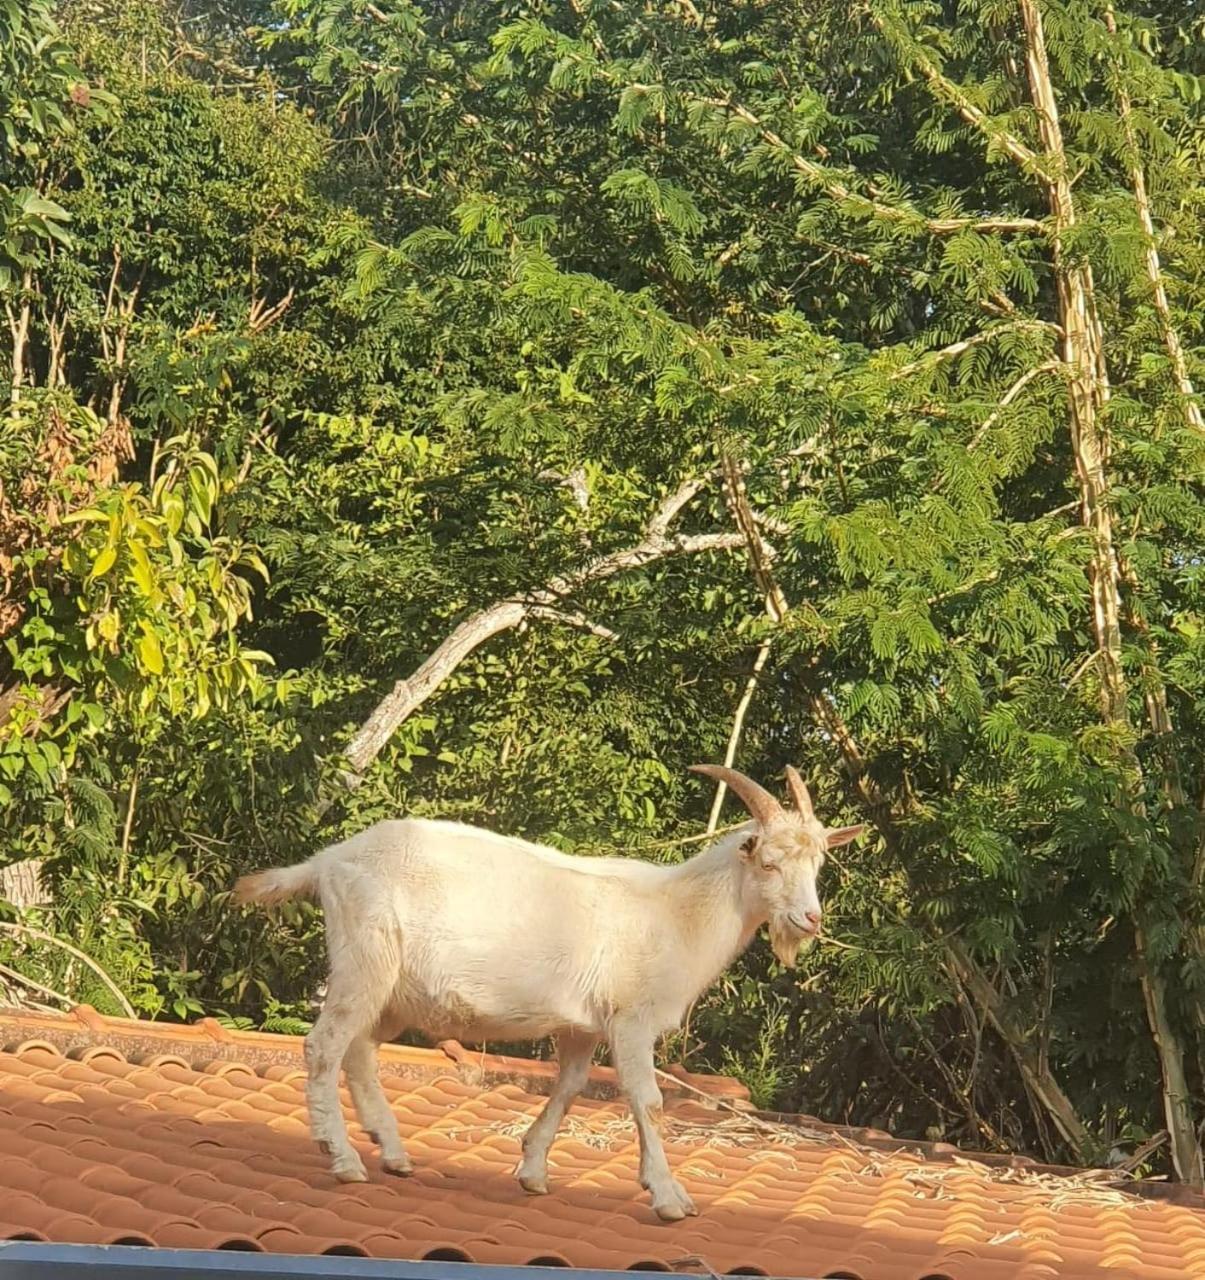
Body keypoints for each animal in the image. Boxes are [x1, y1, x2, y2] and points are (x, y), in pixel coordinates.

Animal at [235, 757, 860, 1218]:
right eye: (770, 863)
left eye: (818, 865)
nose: (810, 919)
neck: (675, 913)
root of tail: (328, 861)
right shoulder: (631, 1018)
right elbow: (649, 1102)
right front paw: (668, 1195)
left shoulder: (583, 1024)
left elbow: (572, 1085)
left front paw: (533, 1169)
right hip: (365, 957)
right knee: (325, 1045)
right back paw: (342, 1157)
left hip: (392, 987)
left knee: (361, 1049)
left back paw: (391, 1151)